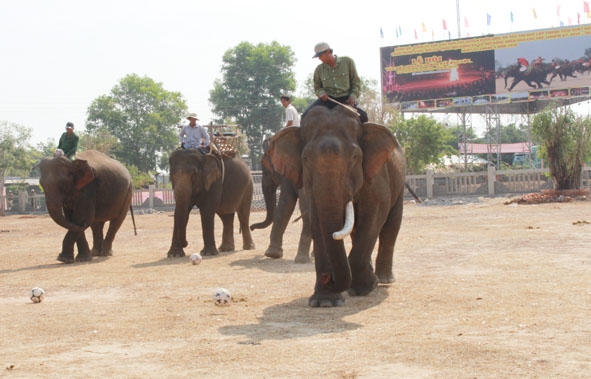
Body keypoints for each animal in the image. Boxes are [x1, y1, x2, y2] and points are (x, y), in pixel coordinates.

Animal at [268, 105, 408, 308]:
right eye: (305, 157)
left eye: (356, 156)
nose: (328, 278)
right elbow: (317, 221)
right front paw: (324, 301)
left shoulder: (376, 175)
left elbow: (374, 216)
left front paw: (366, 287)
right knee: (357, 230)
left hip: (400, 179)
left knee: (391, 225)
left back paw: (383, 279)